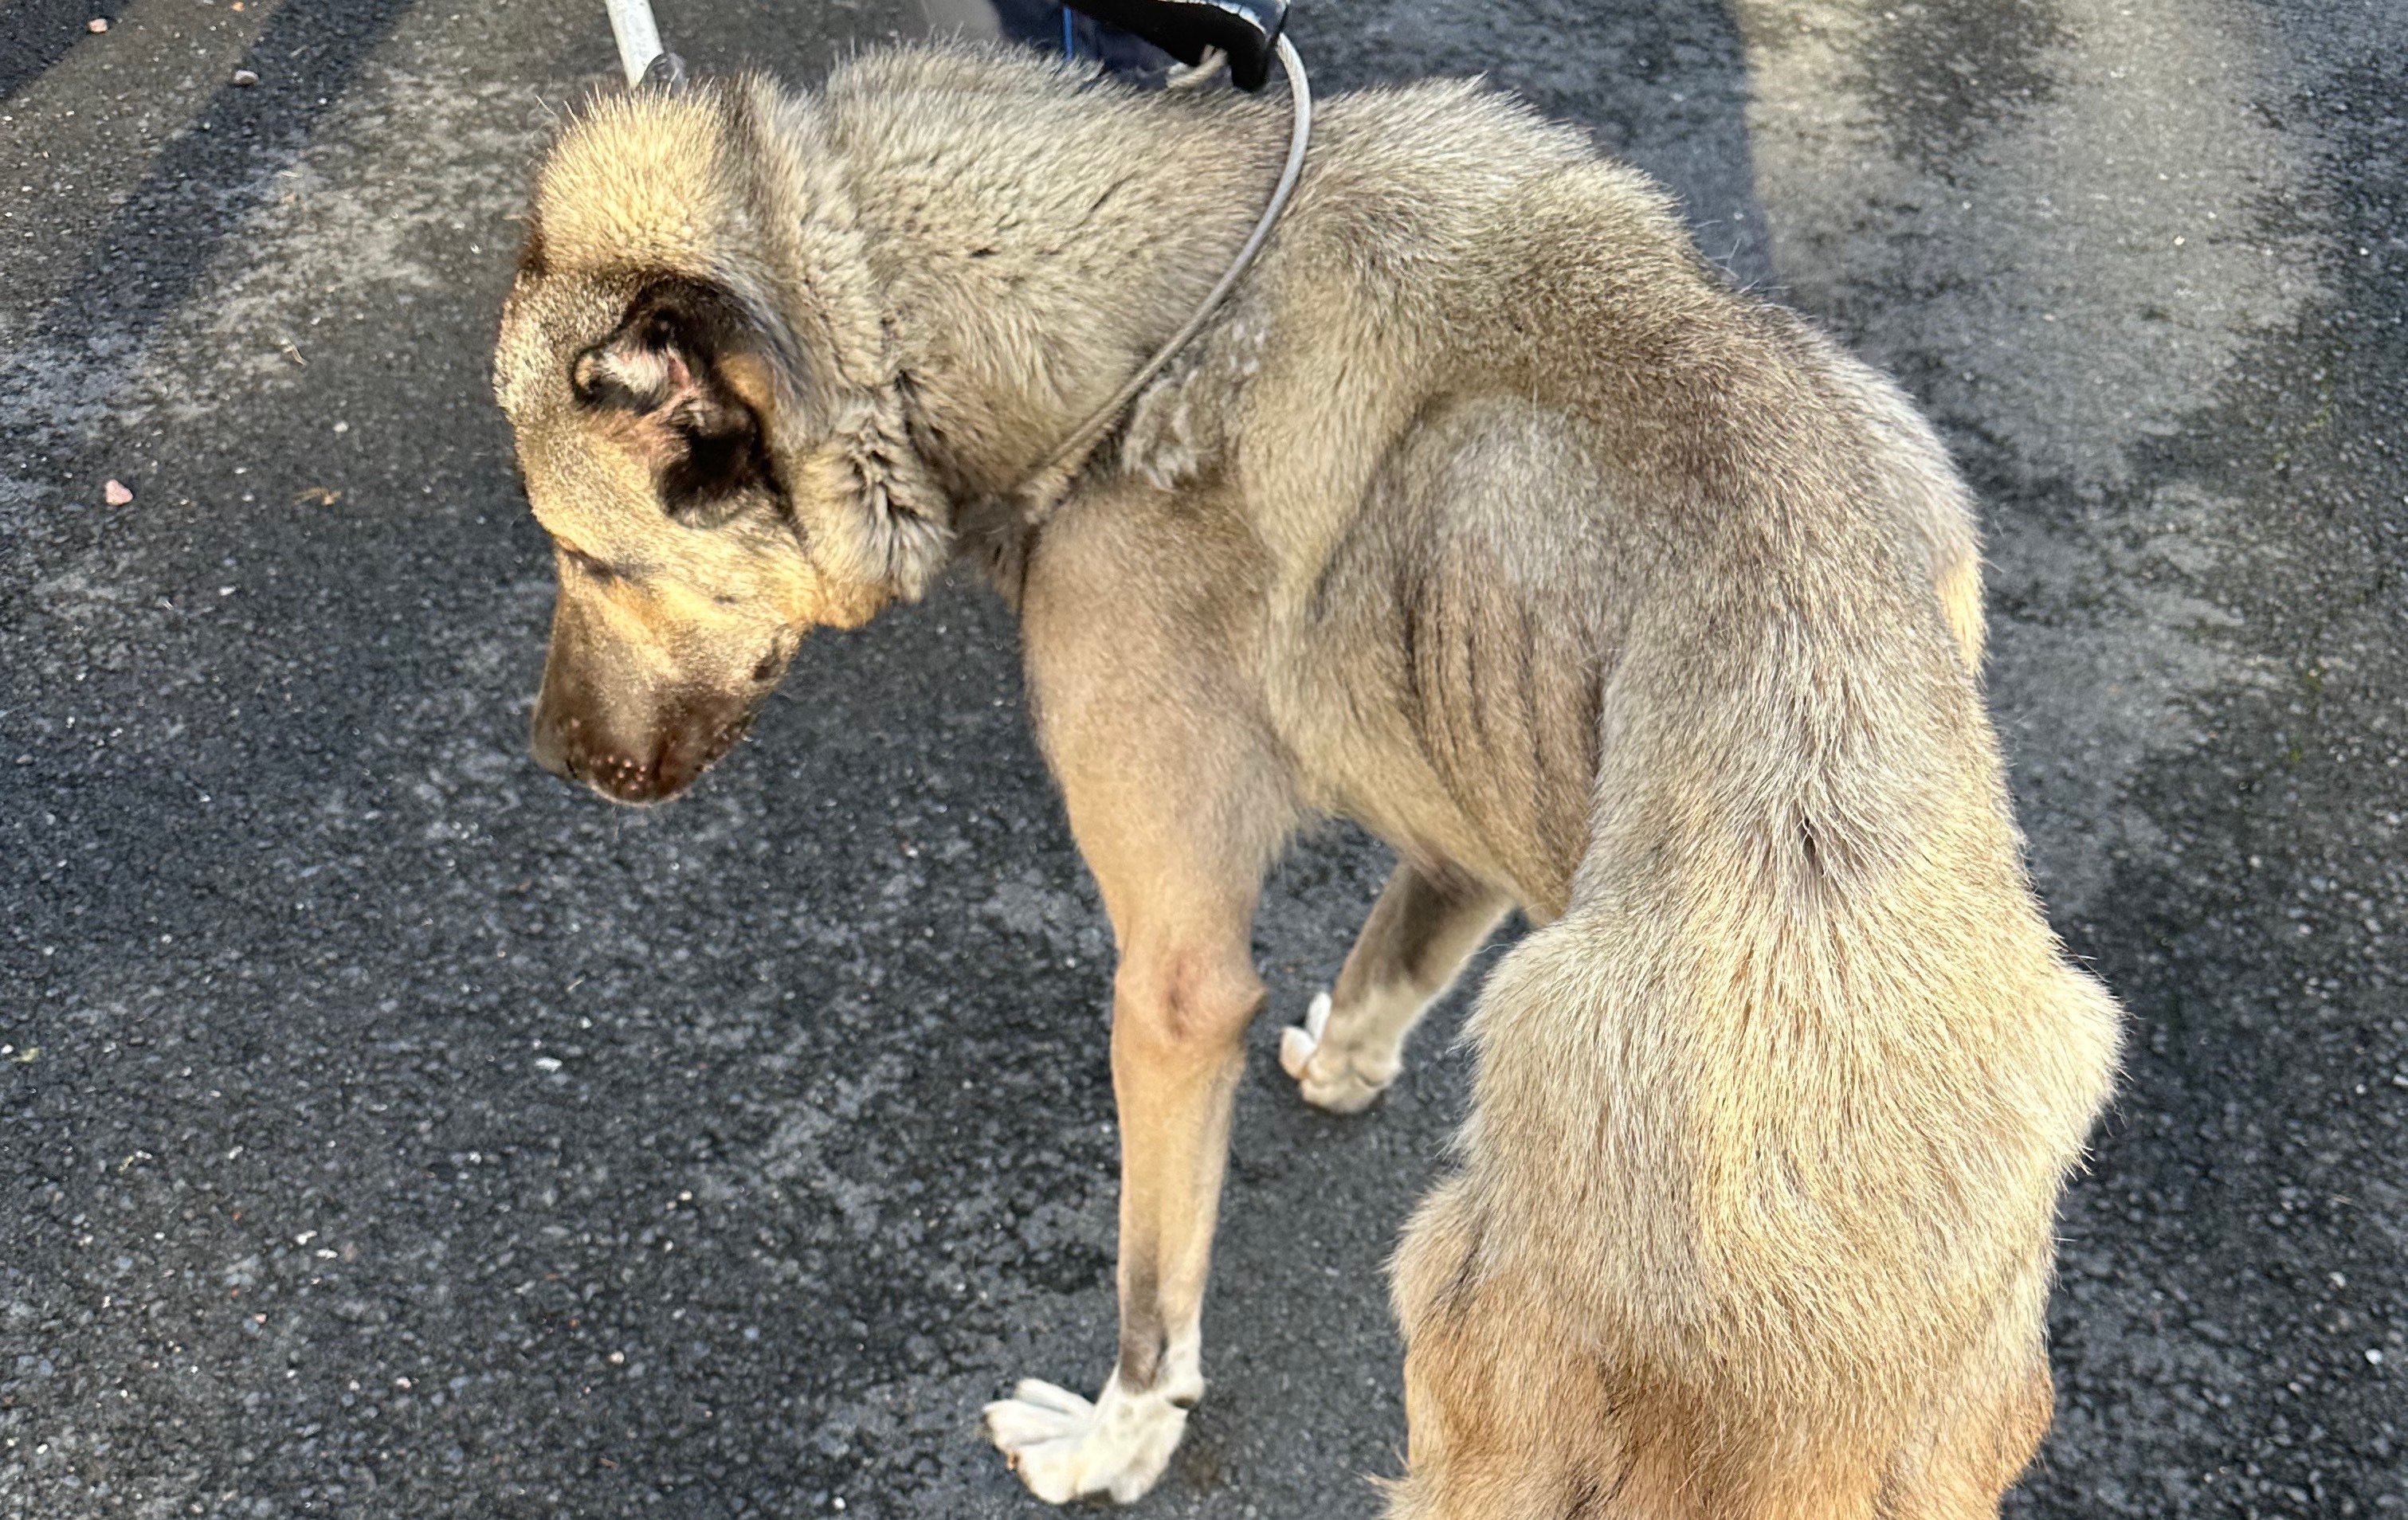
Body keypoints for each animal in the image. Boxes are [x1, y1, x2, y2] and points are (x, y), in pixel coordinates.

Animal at [493, 41, 2128, 1512]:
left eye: (585, 558)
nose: (549, 760)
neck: (1152, 305)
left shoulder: (1173, 984)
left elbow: (1154, 1287)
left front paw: (1115, 1444)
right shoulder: (1481, 793)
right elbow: (1399, 945)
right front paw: (1346, 1060)